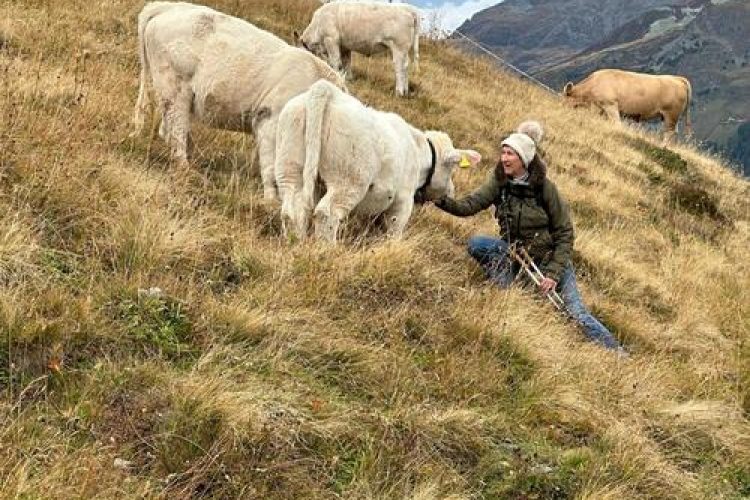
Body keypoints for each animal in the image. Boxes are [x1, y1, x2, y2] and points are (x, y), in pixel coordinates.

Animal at [133, 0, 346, 199]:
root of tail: (166, 7)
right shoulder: (269, 120)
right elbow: (270, 166)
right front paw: (271, 199)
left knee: (168, 128)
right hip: (175, 89)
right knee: (176, 131)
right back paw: (186, 169)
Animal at [276, 79, 482, 241]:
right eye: (451, 169)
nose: (451, 192)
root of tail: (326, 91)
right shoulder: (401, 202)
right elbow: (394, 232)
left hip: (290, 168)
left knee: (291, 209)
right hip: (348, 181)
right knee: (327, 213)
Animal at [296, 1, 424, 96]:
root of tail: (409, 8)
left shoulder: (331, 40)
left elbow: (336, 62)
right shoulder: (344, 46)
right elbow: (346, 62)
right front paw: (348, 78)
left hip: (398, 47)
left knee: (400, 67)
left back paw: (399, 92)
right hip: (404, 49)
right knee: (406, 66)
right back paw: (406, 91)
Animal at [564, 68, 692, 143]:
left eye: (565, 96)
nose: (561, 105)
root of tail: (678, 78)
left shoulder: (610, 105)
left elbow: (616, 122)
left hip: (671, 114)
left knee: (669, 132)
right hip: (668, 116)